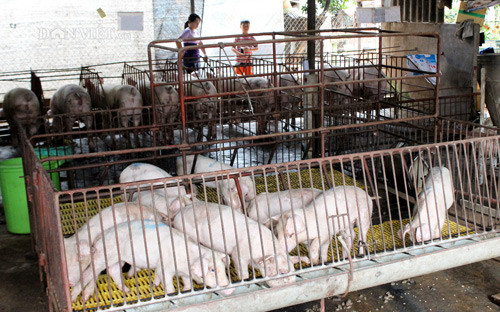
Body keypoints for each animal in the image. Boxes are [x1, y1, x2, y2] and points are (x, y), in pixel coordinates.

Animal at [72, 219, 232, 302]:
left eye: (224, 268)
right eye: (212, 269)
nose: (229, 287)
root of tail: (102, 235)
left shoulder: (184, 273)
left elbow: (187, 283)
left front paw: (185, 290)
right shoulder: (165, 267)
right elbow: (168, 284)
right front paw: (169, 293)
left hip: (119, 258)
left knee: (114, 270)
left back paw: (127, 290)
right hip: (103, 255)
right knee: (89, 273)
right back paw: (77, 299)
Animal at [173, 202, 308, 288]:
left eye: (294, 271)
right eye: (282, 272)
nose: (293, 283)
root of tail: (178, 214)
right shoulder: (238, 253)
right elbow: (242, 270)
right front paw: (245, 280)